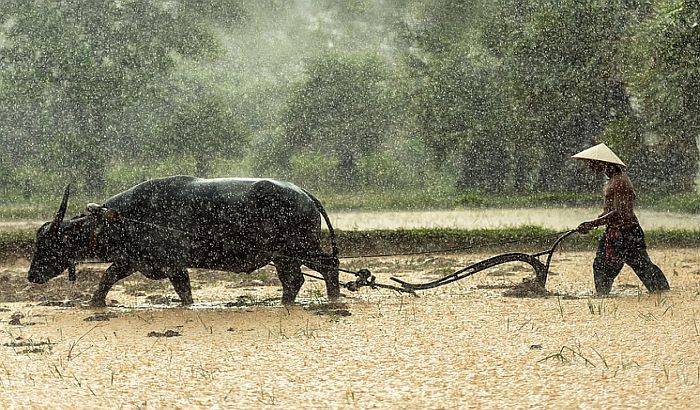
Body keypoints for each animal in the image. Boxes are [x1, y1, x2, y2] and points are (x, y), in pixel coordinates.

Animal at [28, 175, 340, 306]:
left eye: (47, 245)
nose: (31, 275)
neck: (126, 218)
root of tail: (303, 193)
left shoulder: (173, 265)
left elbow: (184, 291)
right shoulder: (132, 260)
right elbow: (107, 277)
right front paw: (94, 304)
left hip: (299, 249)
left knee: (328, 265)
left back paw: (332, 298)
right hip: (284, 256)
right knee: (295, 280)